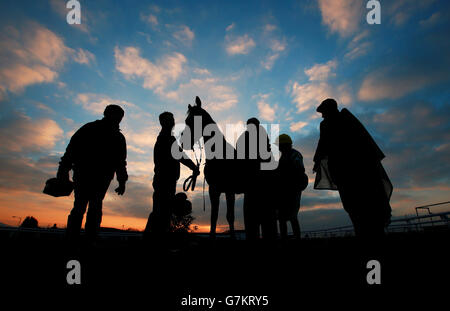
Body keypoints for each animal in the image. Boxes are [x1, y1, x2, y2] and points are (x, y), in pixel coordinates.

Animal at [178, 97, 244, 239]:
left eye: (194, 119)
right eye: (186, 121)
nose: (183, 142)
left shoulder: (229, 191)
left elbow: (230, 217)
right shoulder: (214, 190)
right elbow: (213, 217)